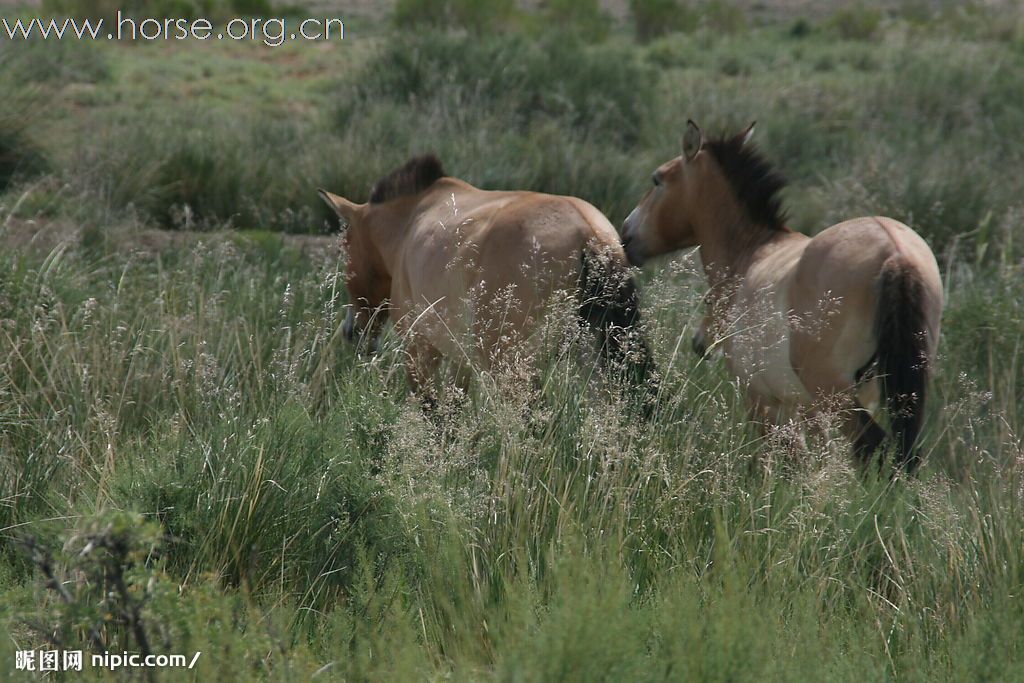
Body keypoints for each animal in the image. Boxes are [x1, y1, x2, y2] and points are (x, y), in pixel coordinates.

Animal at [317, 154, 655, 409]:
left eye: (345, 247)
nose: (350, 331)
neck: (411, 219)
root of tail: (589, 235)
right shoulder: (459, 358)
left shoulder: (419, 347)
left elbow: (432, 411)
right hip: (598, 360)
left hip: (509, 365)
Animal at [618, 121, 937, 475]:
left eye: (657, 180)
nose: (625, 234)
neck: (752, 254)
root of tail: (894, 253)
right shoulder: (806, 409)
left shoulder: (762, 399)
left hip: (833, 394)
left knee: (873, 447)